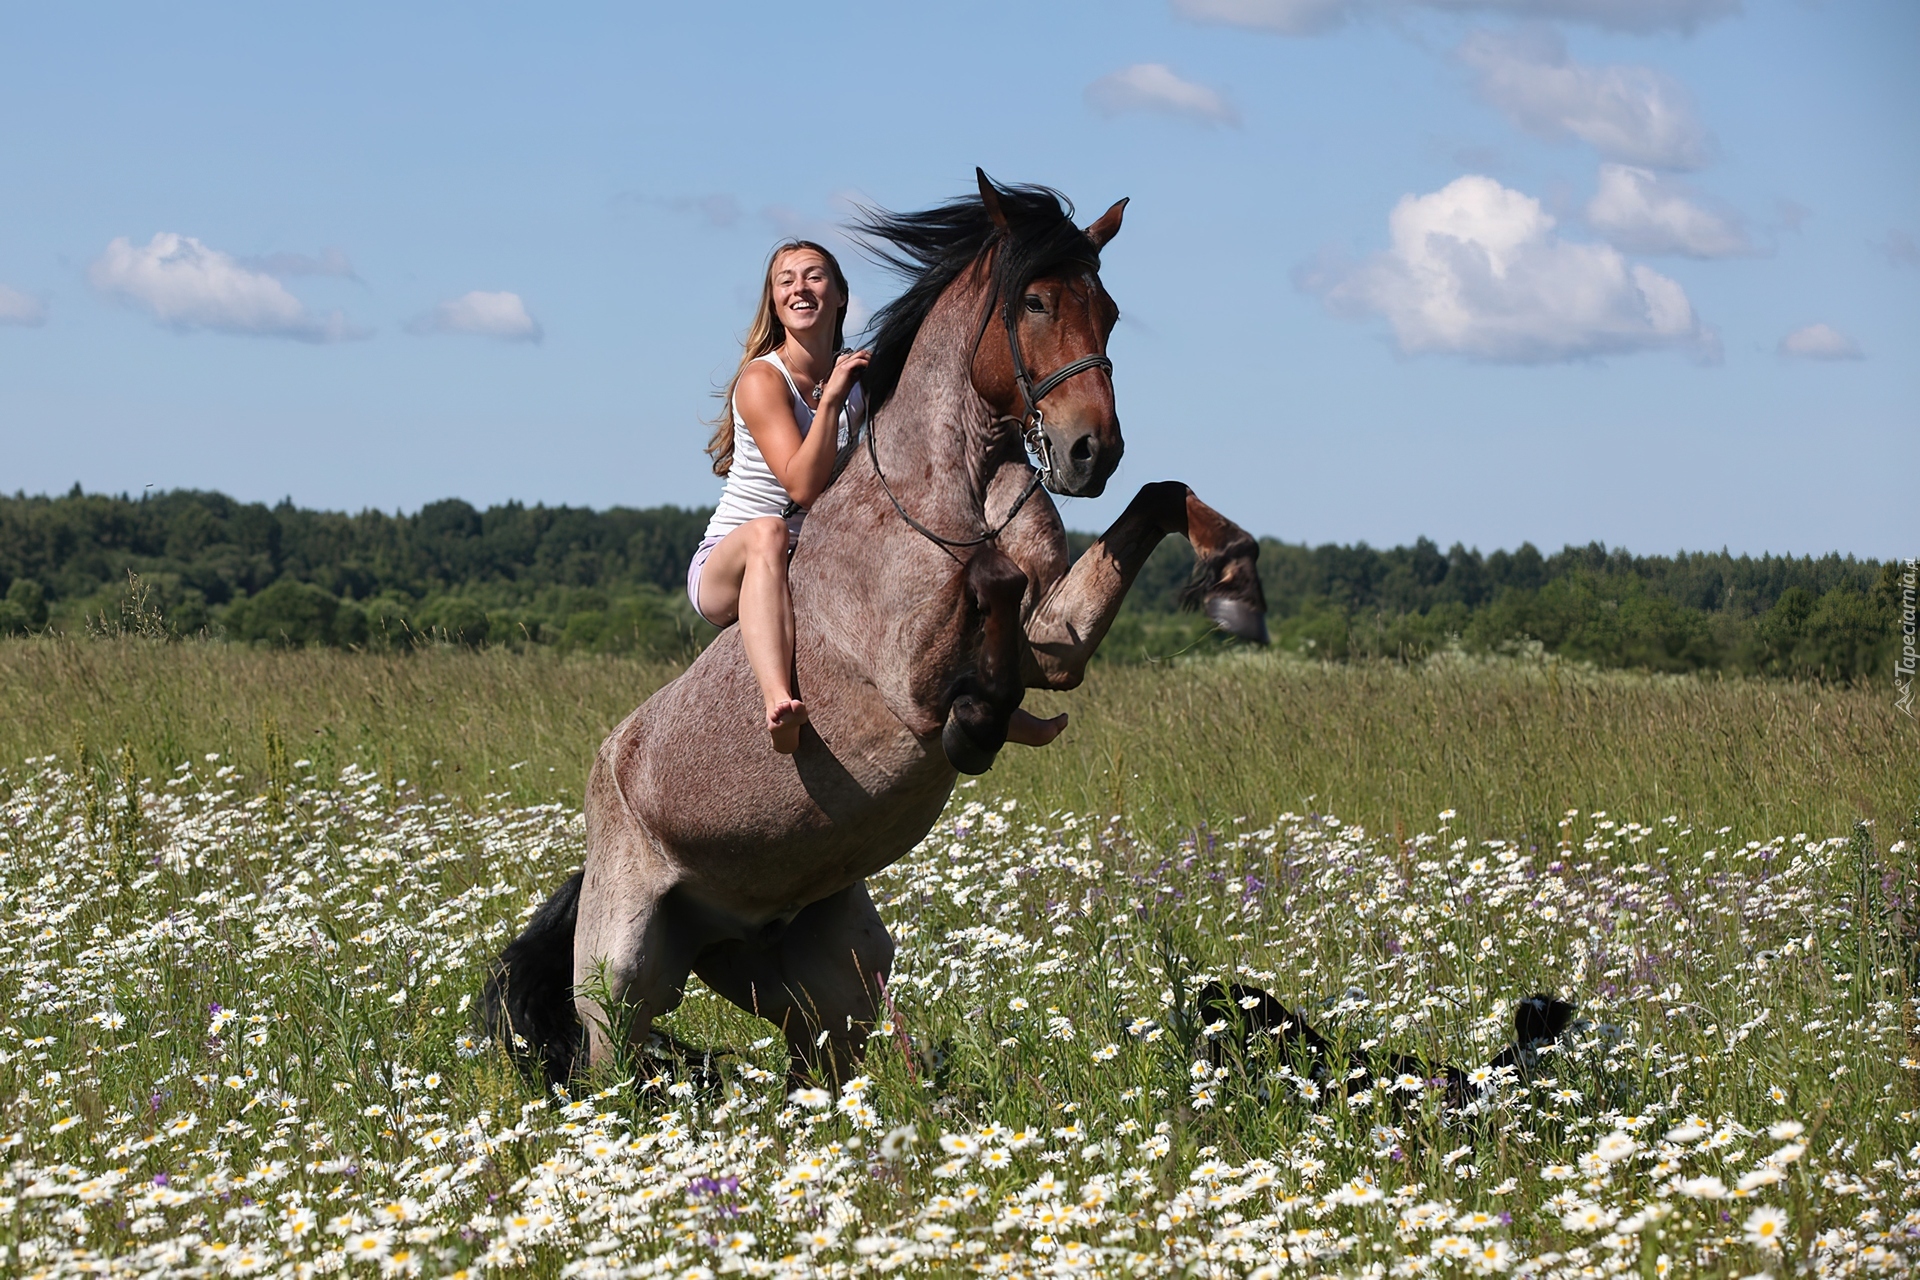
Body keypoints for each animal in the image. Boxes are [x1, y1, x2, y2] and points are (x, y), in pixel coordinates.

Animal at [483, 169, 1274, 1090]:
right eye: (1035, 302)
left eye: (1107, 309)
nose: (1091, 452)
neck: (945, 487)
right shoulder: (913, 678)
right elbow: (991, 590)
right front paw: (979, 725)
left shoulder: (1058, 638)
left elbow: (1157, 501)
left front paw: (1236, 588)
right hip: (623, 984)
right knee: (613, 1076)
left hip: (828, 983)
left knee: (826, 1075)